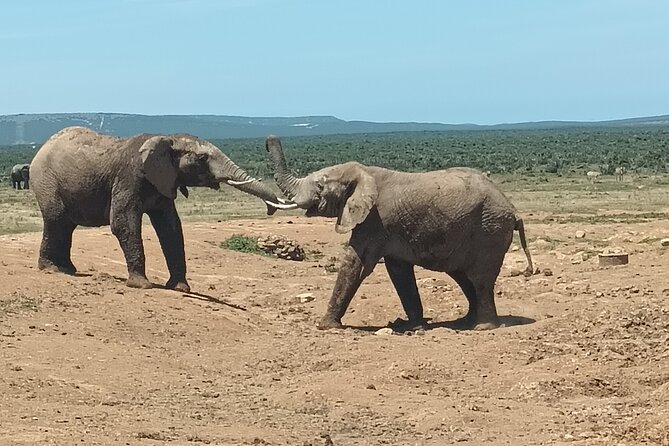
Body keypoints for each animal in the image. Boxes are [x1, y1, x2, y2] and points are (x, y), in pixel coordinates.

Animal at [30, 126, 293, 292]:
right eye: (202, 159)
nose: (270, 210)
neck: (166, 139)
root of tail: (42, 148)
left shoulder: (164, 182)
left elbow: (171, 227)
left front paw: (180, 288)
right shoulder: (129, 177)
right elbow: (123, 223)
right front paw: (142, 285)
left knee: (66, 226)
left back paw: (67, 269)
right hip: (45, 181)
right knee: (56, 220)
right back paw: (52, 269)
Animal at [265, 135, 533, 331]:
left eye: (320, 186)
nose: (269, 140)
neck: (364, 172)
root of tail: (514, 210)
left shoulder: (375, 221)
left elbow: (356, 263)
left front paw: (326, 326)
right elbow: (399, 272)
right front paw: (415, 327)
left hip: (489, 231)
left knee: (479, 279)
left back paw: (483, 327)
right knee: (463, 277)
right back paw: (465, 322)